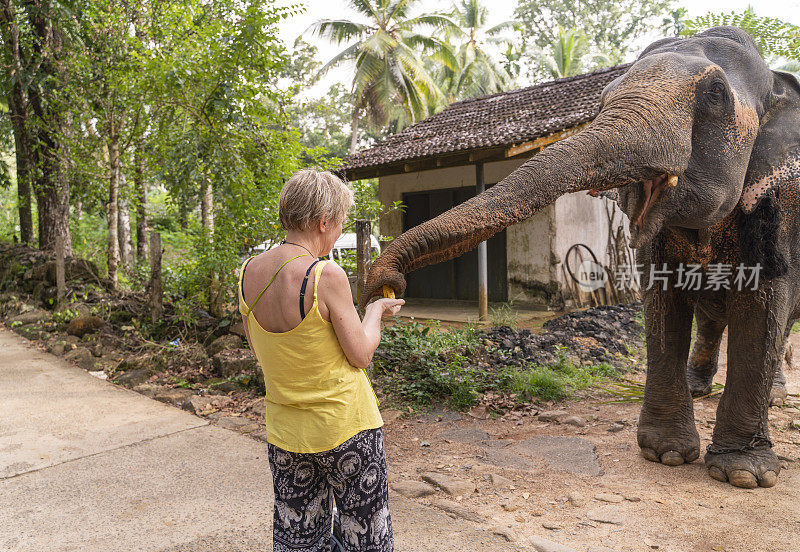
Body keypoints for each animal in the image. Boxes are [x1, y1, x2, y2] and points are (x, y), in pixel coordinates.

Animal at [360, 28, 800, 490]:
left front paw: (743, 475)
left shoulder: (782, 206)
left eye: (716, 94)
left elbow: (763, 305)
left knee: (780, 322)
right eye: (604, 97)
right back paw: (700, 389)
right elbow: (663, 301)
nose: (386, 285)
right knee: (714, 318)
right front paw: (666, 454)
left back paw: (774, 395)